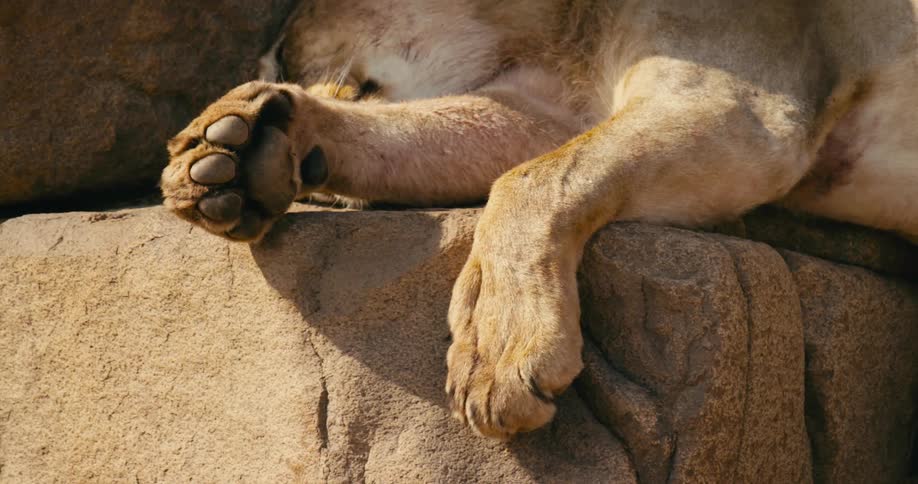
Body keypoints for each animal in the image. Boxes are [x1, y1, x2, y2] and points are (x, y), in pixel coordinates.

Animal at [161, 0, 918, 439]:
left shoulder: (752, 107)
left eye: (290, 43)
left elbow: (533, 180)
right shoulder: (542, 108)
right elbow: (453, 141)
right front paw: (234, 149)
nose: (263, 65)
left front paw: (498, 352)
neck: (558, 30)